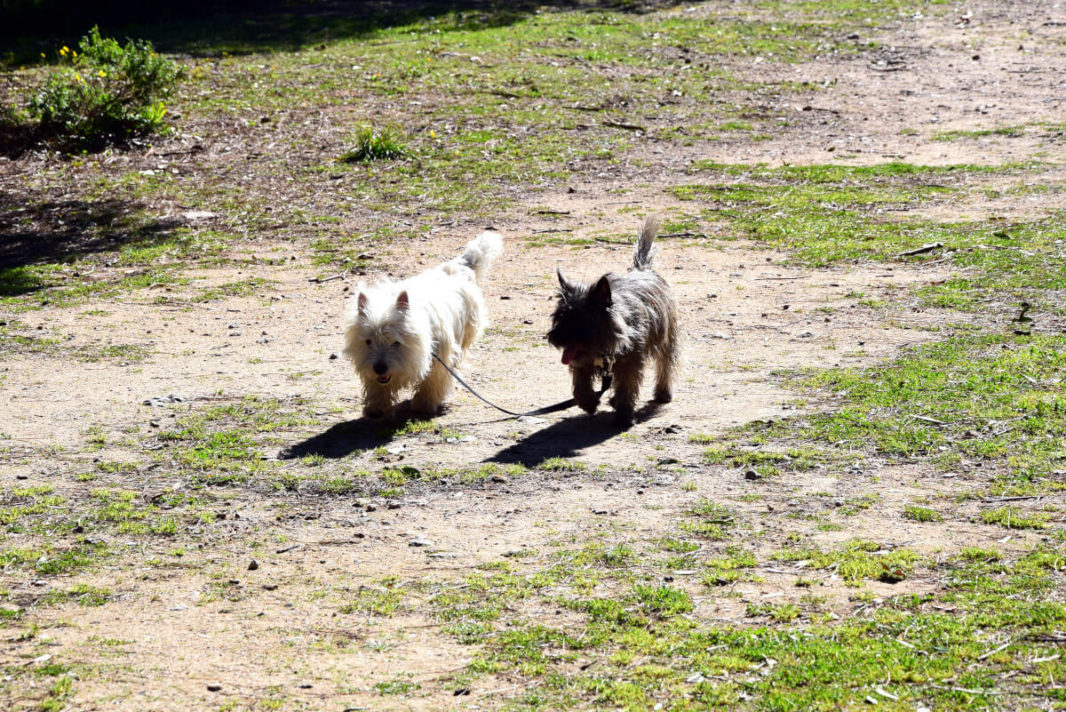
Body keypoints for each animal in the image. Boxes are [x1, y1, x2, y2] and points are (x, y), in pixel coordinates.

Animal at [343, 232, 505, 417]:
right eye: (368, 342)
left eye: (396, 343)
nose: (379, 368)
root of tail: (459, 266)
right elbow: (377, 387)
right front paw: (377, 407)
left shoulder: (440, 360)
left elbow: (432, 383)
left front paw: (424, 405)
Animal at [550, 217, 673, 426]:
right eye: (559, 317)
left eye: (579, 320)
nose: (555, 338)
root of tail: (643, 270)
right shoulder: (582, 362)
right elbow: (581, 386)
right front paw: (589, 403)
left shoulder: (630, 363)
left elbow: (626, 387)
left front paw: (623, 416)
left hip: (665, 339)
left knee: (665, 365)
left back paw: (663, 393)